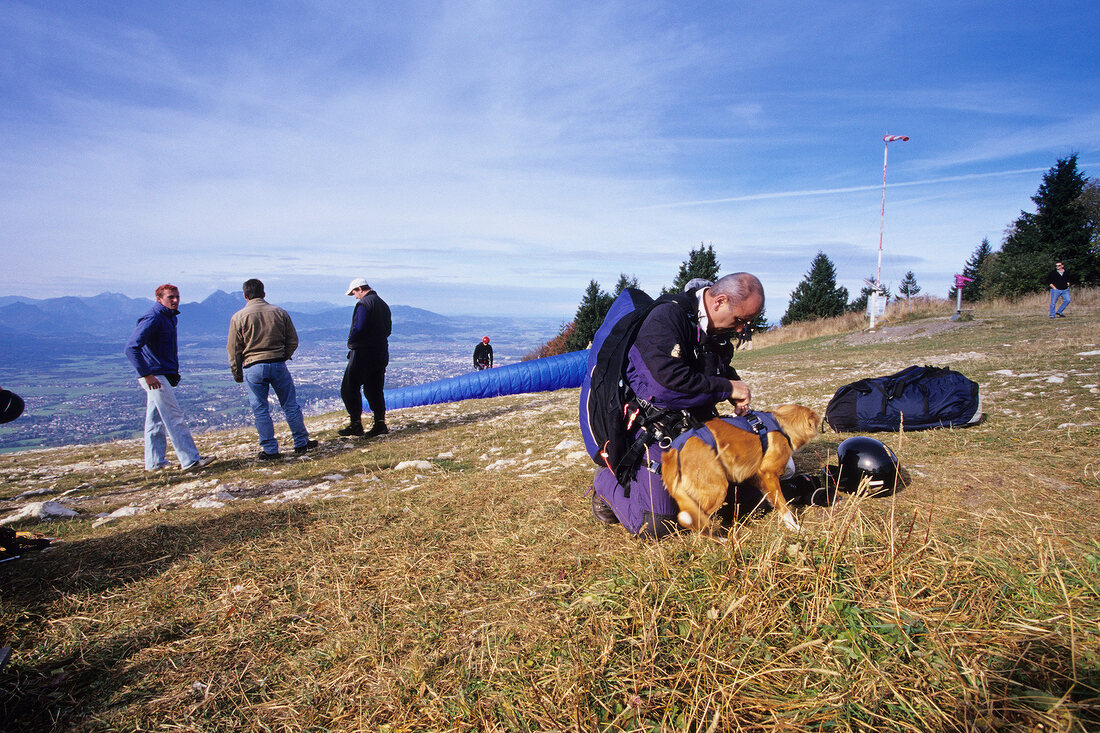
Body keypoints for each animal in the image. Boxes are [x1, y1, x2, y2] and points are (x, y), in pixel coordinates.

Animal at [655, 405, 822, 530]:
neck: (782, 424)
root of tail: (673, 452)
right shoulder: (768, 473)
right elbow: (783, 504)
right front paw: (794, 527)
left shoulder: (758, 477)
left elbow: (771, 498)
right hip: (716, 489)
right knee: (696, 521)